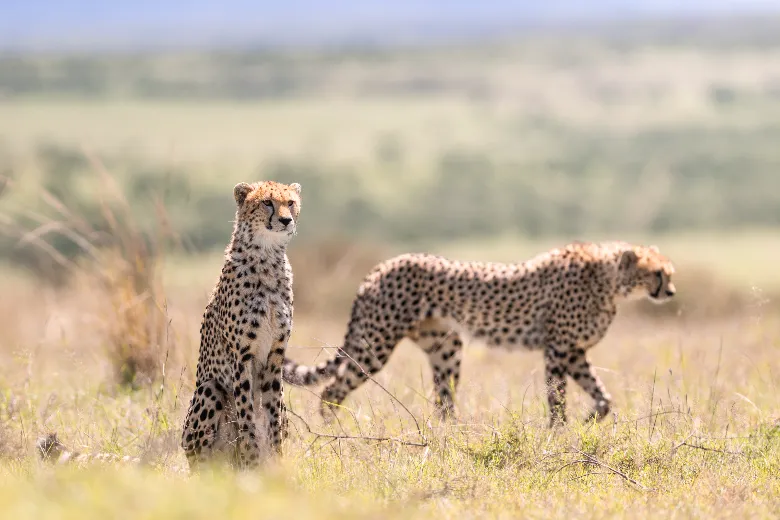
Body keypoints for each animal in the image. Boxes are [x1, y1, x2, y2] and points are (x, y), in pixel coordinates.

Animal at [181, 180, 301, 470]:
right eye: (267, 202)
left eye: (290, 202)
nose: (286, 220)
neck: (267, 259)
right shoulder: (241, 355)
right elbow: (247, 414)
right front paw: (253, 463)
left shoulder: (276, 355)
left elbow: (271, 416)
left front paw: (276, 464)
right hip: (208, 391)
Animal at [283, 241, 676, 426]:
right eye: (658, 273)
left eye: (669, 273)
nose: (671, 292)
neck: (610, 282)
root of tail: (380, 267)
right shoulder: (558, 348)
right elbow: (557, 395)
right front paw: (560, 431)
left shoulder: (575, 352)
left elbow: (602, 395)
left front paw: (590, 419)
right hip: (375, 345)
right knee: (332, 389)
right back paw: (335, 430)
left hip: (446, 347)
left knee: (443, 402)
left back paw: (453, 434)